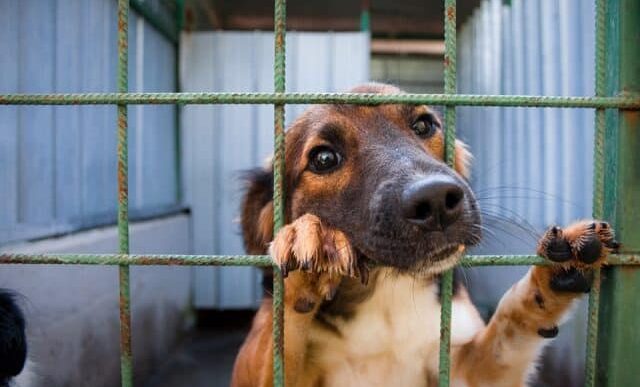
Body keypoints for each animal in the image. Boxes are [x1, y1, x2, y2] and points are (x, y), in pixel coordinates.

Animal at [230, 83, 616, 386]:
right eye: (323, 158)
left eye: (423, 124)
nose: (436, 201)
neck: (387, 291)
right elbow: (279, 336)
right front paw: (311, 240)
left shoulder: (464, 370)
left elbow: (506, 328)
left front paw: (548, 279)